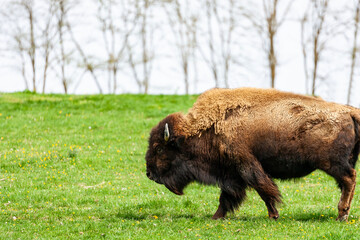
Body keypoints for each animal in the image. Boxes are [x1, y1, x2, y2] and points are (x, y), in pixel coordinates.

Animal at [144, 87, 360, 221]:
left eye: (159, 148)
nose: (149, 174)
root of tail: (349, 111)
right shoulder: (231, 175)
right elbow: (228, 196)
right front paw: (216, 217)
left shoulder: (246, 165)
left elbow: (263, 189)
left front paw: (273, 215)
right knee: (347, 183)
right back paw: (343, 214)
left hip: (332, 163)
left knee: (349, 179)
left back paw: (341, 215)